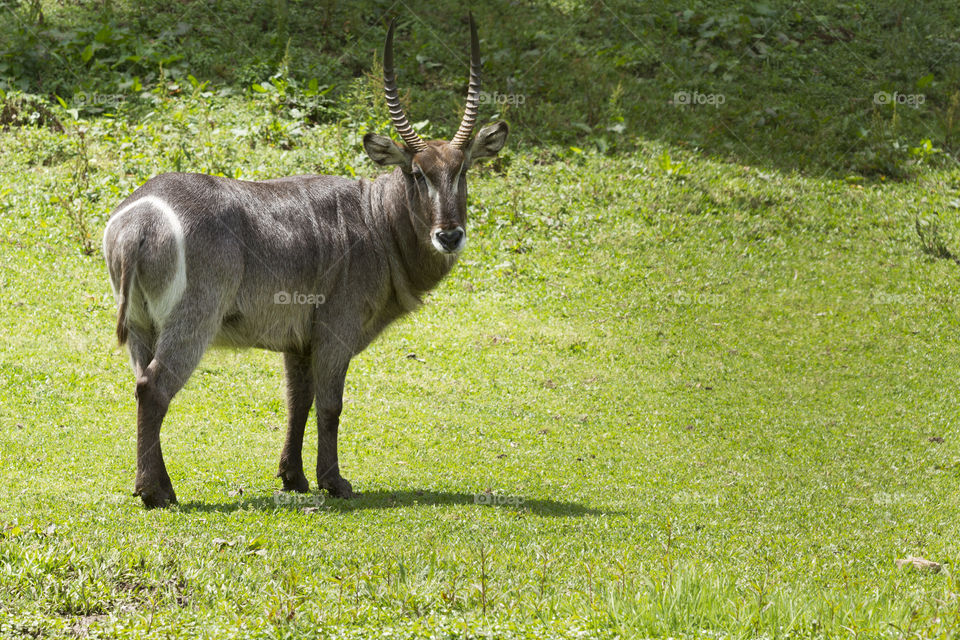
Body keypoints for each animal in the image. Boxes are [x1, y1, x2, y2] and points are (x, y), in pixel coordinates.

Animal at [102, 15, 510, 508]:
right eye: (417, 173)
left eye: (463, 170)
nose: (449, 235)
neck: (377, 220)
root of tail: (138, 220)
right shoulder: (336, 329)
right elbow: (331, 405)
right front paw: (334, 482)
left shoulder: (298, 342)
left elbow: (299, 403)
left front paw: (292, 477)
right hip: (193, 319)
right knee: (154, 388)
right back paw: (154, 493)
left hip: (141, 326)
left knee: (141, 385)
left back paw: (157, 485)